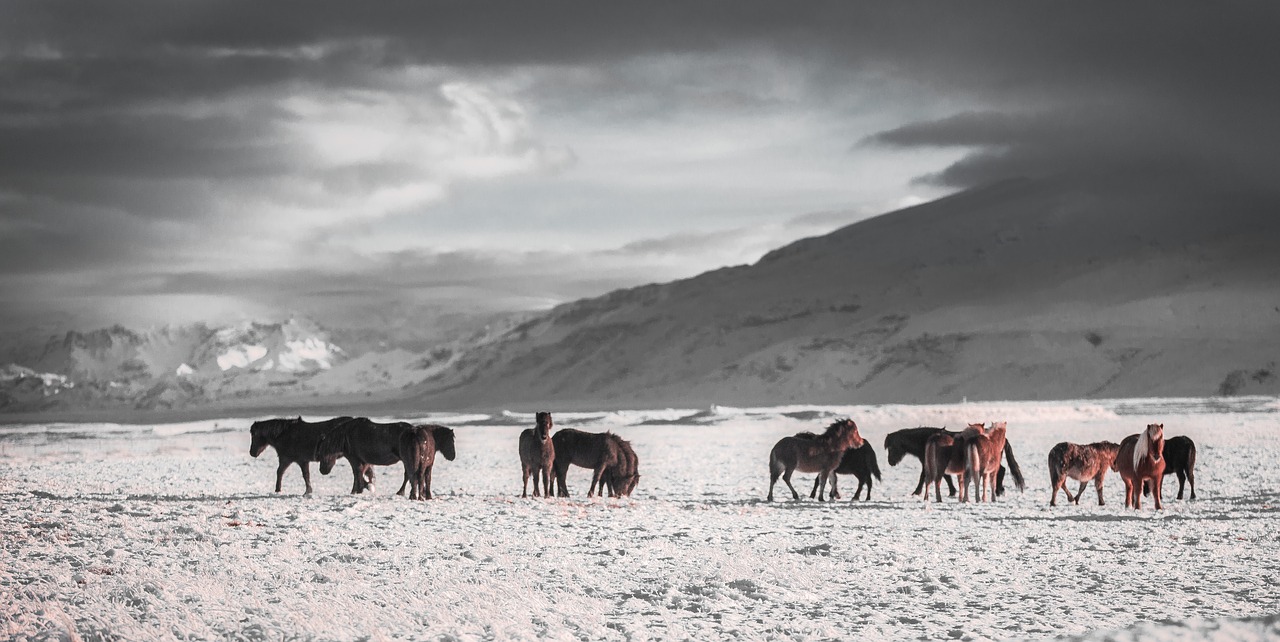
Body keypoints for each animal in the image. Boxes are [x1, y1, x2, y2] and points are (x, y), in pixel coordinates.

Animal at [885, 429, 1013, 498]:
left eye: (891, 447)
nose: (890, 462)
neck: (924, 439)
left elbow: (923, 476)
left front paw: (916, 492)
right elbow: (946, 476)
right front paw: (952, 491)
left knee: (1000, 471)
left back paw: (999, 490)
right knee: (1001, 470)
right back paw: (1000, 490)